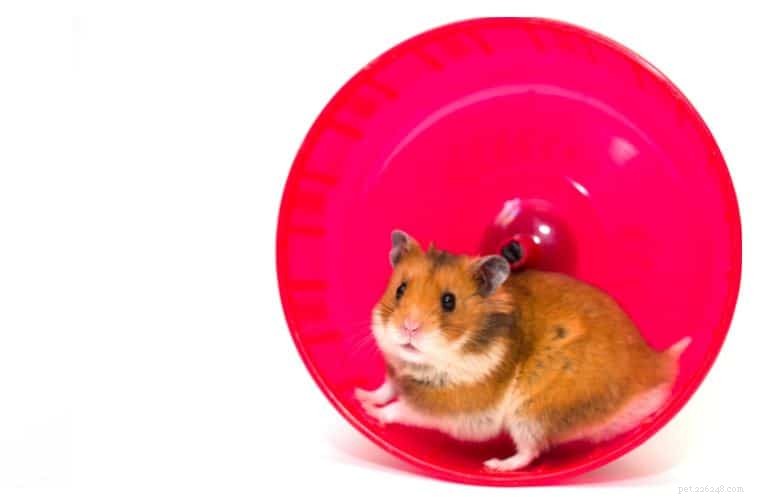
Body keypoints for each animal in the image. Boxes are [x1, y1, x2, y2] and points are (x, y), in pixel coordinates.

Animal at [355, 230, 690, 471]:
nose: (409, 328)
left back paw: (494, 465)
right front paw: (360, 397)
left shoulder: (455, 407)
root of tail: (655, 364)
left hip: (532, 413)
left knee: (531, 451)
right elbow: (385, 389)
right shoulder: (395, 374)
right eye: (400, 290)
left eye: (449, 301)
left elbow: (402, 409)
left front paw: (372, 414)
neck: (421, 364)